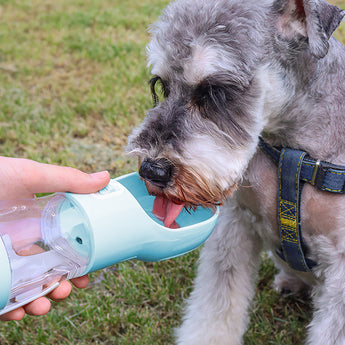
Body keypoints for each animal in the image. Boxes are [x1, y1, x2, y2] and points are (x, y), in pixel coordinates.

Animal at [126, 0, 344, 342]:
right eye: (161, 84)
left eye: (215, 92)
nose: (152, 170)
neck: (291, 152)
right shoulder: (236, 225)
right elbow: (217, 303)